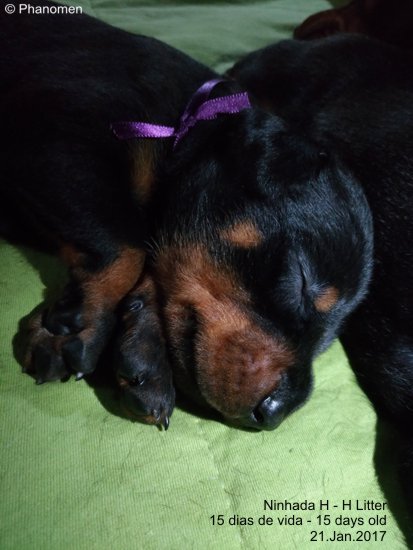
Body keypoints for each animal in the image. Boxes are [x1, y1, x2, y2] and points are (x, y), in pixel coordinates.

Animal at [1, 1, 373, 432]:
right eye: (301, 283)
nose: (276, 414)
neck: (183, 124)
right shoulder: (53, 133)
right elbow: (124, 245)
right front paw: (76, 326)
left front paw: (146, 351)